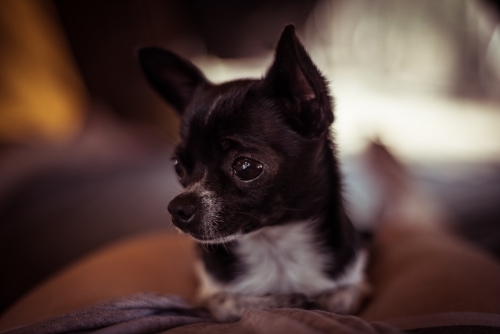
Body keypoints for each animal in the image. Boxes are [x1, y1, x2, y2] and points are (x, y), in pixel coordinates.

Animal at [139, 24, 370, 322]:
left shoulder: (357, 279)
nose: (177, 208)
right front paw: (275, 300)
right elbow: (228, 302)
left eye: (246, 167)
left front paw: (325, 298)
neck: (275, 247)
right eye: (178, 166)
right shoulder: (209, 294)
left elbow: (345, 296)